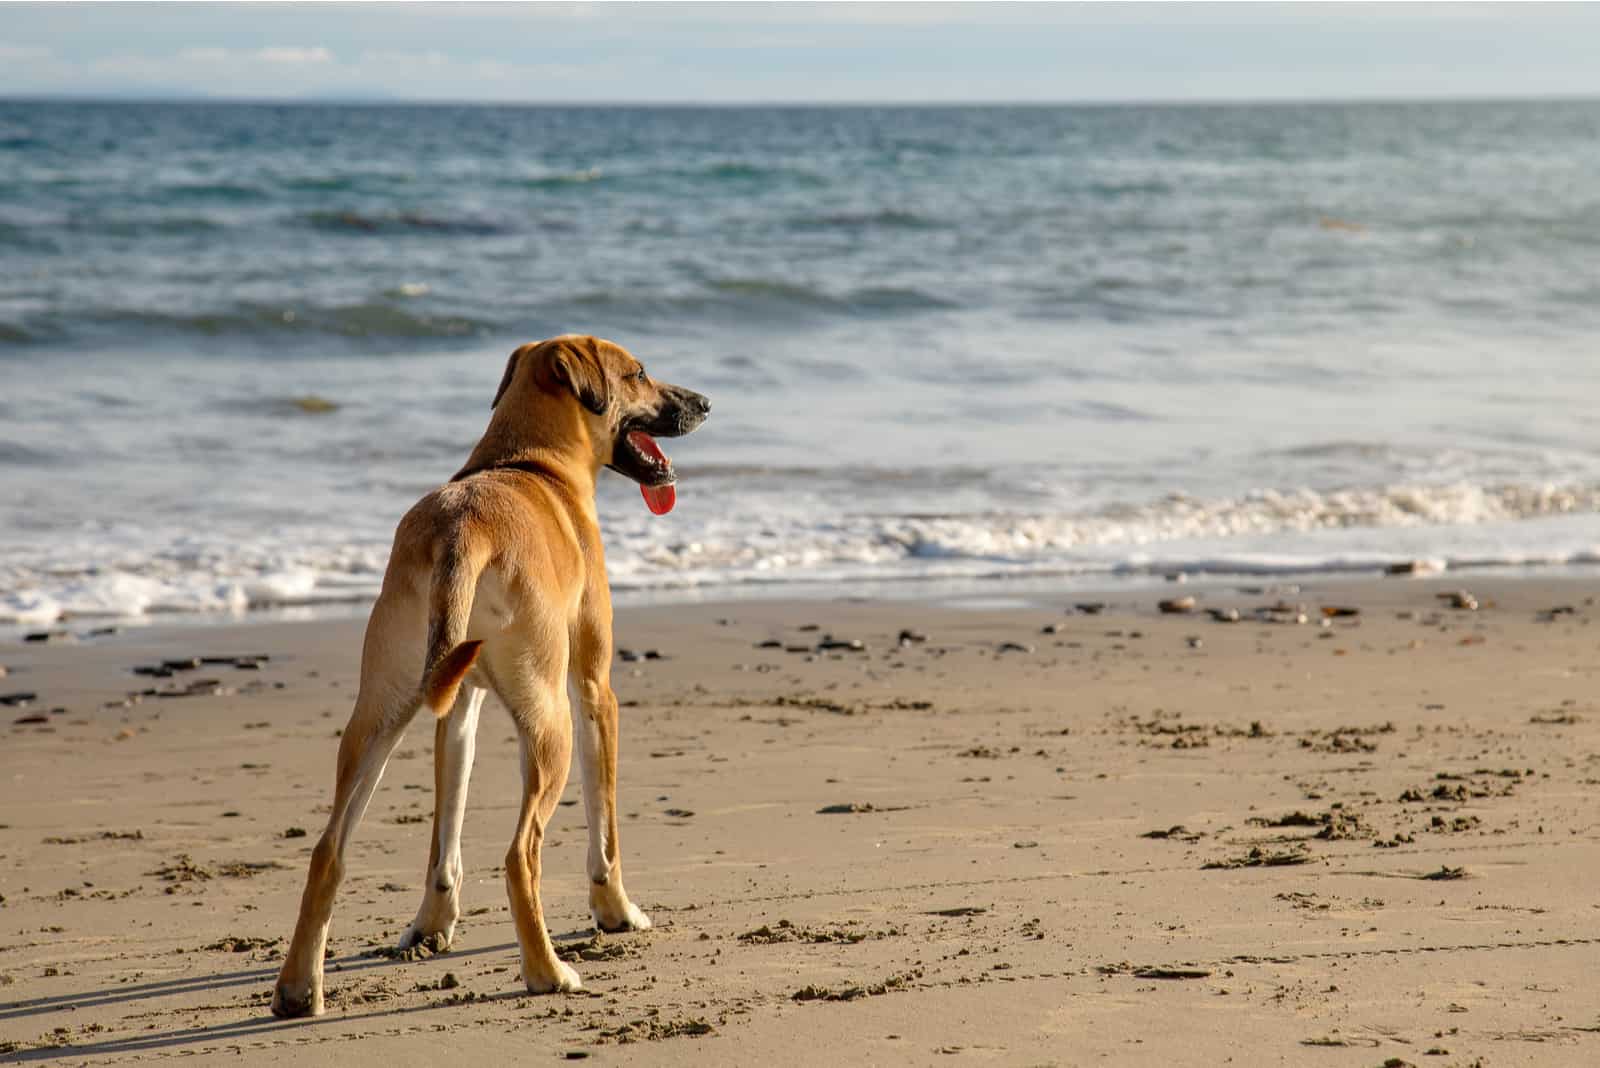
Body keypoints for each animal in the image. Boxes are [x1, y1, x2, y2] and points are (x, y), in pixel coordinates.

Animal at [272, 335, 710, 1016]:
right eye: (638, 373)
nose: (706, 404)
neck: (528, 462)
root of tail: (463, 531)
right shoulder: (594, 690)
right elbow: (605, 827)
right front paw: (616, 910)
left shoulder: (457, 709)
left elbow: (444, 835)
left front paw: (431, 925)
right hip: (551, 723)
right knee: (519, 854)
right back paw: (547, 971)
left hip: (380, 710)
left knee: (328, 849)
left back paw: (297, 988)